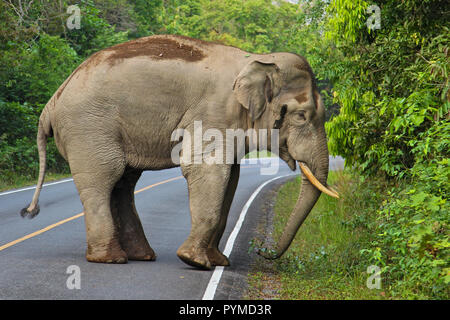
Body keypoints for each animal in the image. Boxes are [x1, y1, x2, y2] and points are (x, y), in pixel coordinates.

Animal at [21, 34, 338, 270]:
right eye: (301, 116)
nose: (262, 250)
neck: (256, 59)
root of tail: (52, 102)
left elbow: (232, 178)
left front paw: (218, 262)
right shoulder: (212, 113)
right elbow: (207, 169)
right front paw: (195, 262)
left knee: (123, 181)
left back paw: (140, 256)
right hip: (89, 128)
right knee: (104, 178)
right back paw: (110, 259)